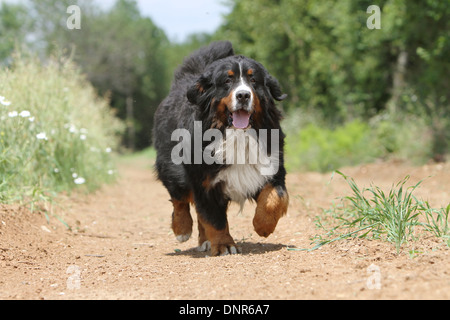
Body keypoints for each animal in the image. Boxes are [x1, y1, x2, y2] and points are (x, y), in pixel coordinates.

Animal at [154, 40, 288, 255]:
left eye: (253, 80)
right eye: (227, 81)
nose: (243, 95)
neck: (237, 135)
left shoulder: (273, 166)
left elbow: (275, 197)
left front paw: (263, 226)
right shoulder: (204, 181)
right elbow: (214, 218)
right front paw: (224, 244)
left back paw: (204, 241)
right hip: (171, 166)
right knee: (179, 198)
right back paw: (182, 229)